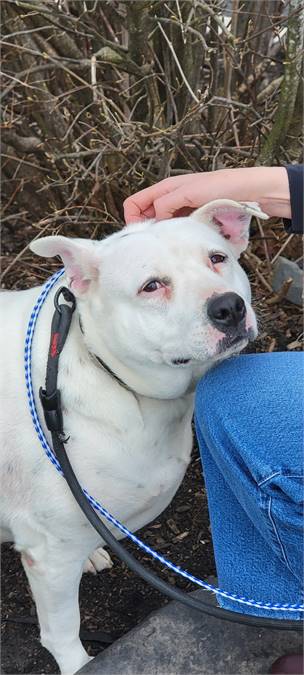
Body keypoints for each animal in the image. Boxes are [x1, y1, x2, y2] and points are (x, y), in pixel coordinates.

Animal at [0, 199, 268, 672]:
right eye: (151, 286)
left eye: (217, 258)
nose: (229, 307)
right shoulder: (49, 557)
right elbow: (62, 630)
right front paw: (77, 664)